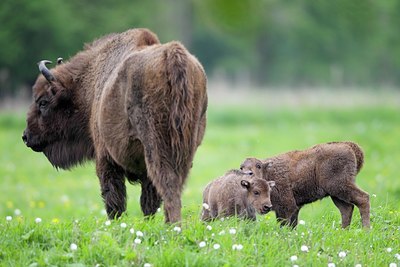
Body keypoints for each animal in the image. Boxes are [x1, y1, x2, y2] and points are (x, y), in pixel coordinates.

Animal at [22, 28, 208, 224]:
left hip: (157, 147)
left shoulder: (105, 157)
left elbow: (113, 198)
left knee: (167, 184)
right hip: (186, 149)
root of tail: (171, 55)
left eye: (43, 102)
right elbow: (147, 200)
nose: (26, 136)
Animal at [239, 142, 370, 228]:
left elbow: (285, 224)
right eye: (241, 167)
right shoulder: (293, 208)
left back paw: (366, 230)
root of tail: (348, 146)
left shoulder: (286, 206)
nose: (248, 173)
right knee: (347, 209)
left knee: (363, 198)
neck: (269, 172)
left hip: (340, 187)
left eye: (258, 166)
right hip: (336, 194)